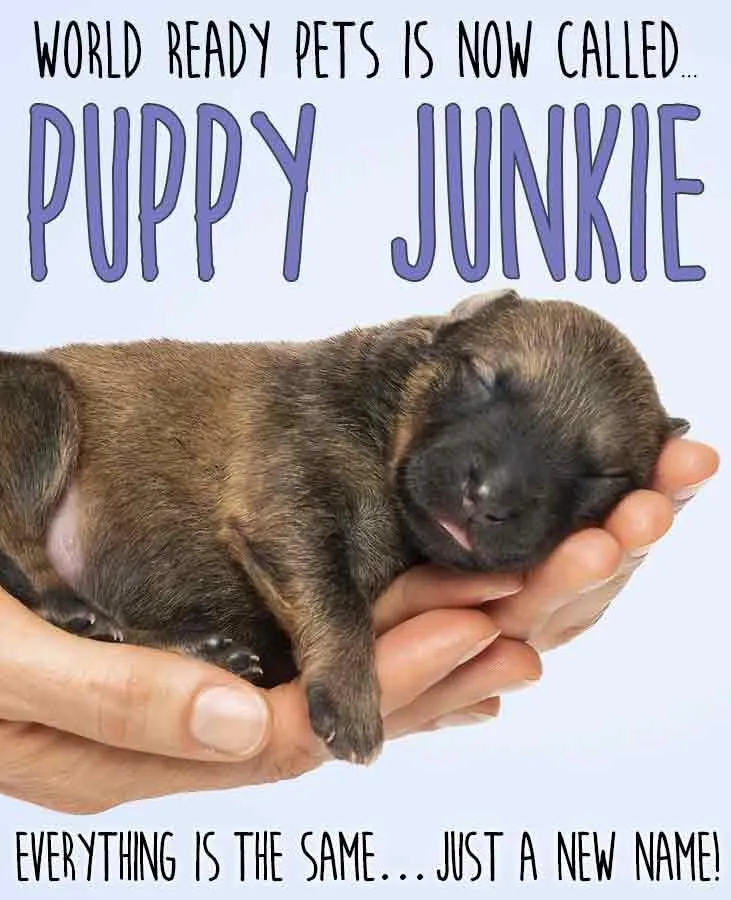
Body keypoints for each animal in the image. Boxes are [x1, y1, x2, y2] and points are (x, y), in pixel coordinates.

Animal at [0, 292, 688, 764]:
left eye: (602, 476)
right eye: (482, 377)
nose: (489, 498)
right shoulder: (287, 492)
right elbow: (333, 593)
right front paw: (351, 700)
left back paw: (199, 648)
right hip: (41, 402)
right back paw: (82, 609)